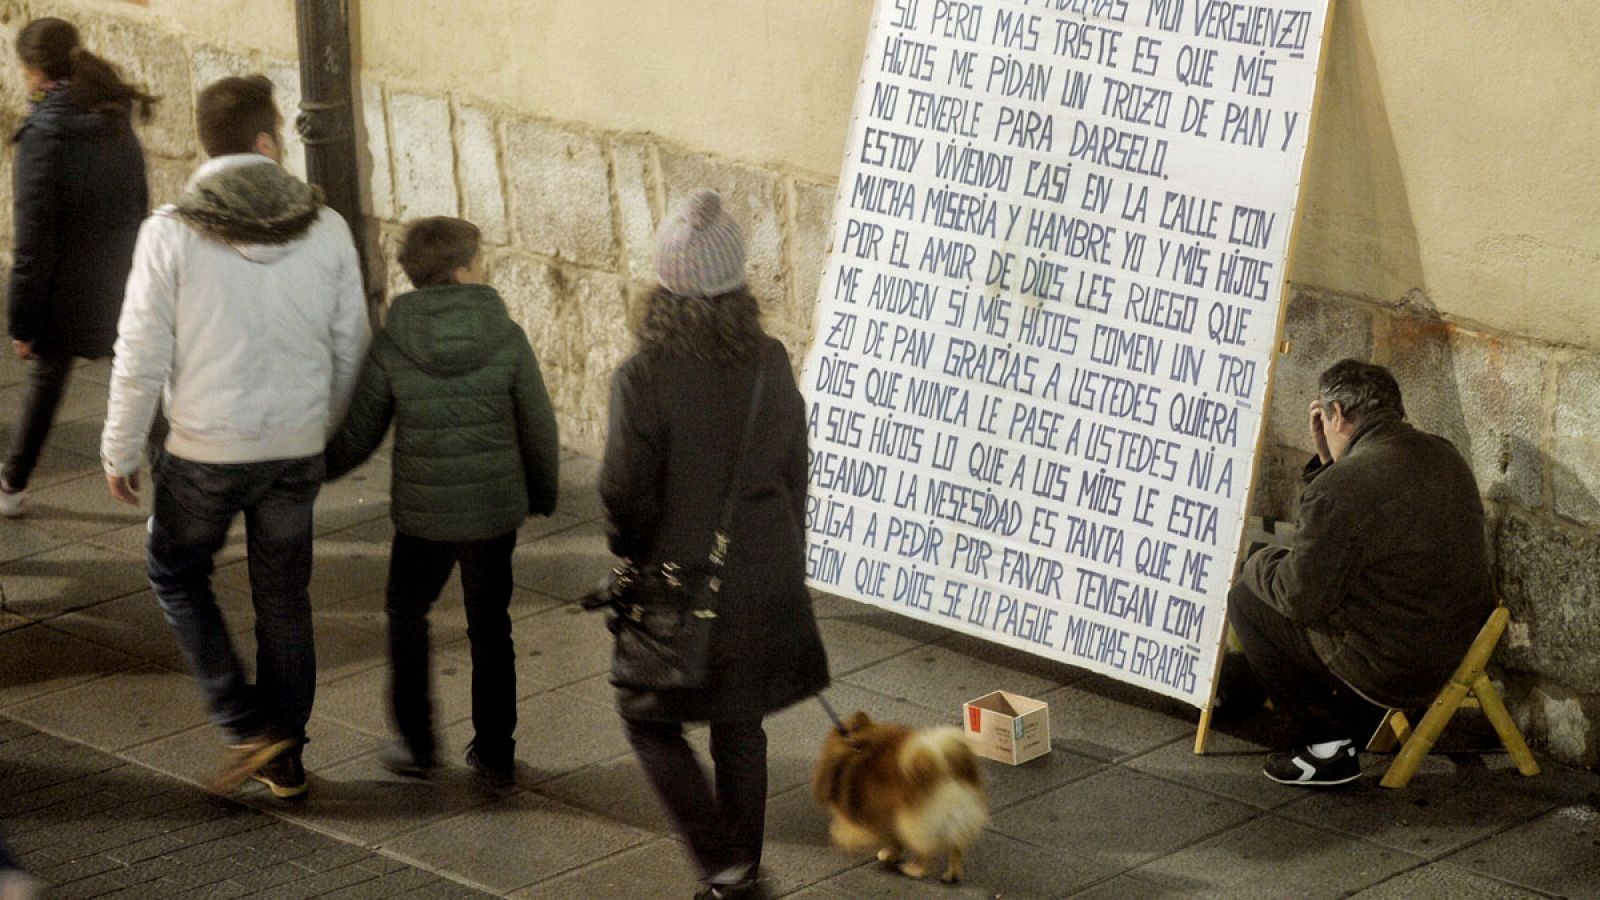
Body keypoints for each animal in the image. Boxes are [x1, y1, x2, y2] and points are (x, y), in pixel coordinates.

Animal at [812, 711, 985, 877]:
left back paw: (913, 870)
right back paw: (951, 875)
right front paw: (888, 854)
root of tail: (944, 773)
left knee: (925, 852)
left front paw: (843, 837)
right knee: (955, 848)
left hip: (914, 824)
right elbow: (894, 841)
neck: (857, 745)